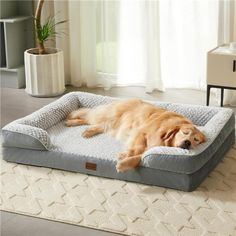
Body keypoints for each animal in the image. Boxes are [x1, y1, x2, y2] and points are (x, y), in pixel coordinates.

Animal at [65, 99, 206, 171]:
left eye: (196, 139)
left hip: (112, 124)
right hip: (112, 116)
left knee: (99, 124)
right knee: (89, 116)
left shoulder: (152, 149)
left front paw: (124, 162)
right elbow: (138, 149)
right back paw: (73, 122)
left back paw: (87, 130)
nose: (187, 142)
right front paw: (125, 155)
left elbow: (141, 156)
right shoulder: (141, 133)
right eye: (185, 132)